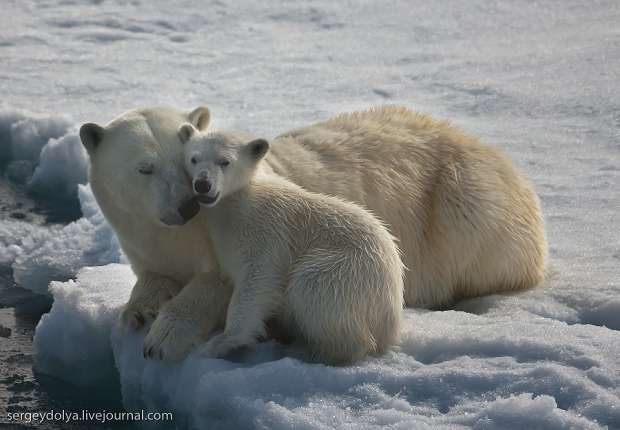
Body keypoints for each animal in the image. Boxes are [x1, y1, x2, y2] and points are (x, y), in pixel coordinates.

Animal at [78, 106, 548, 362]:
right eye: (145, 168)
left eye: (180, 159)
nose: (188, 204)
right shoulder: (145, 238)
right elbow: (154, 274)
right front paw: (138, 311)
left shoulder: (240, 237)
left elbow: (226, 284)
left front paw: (163, 338)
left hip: (466, 212)